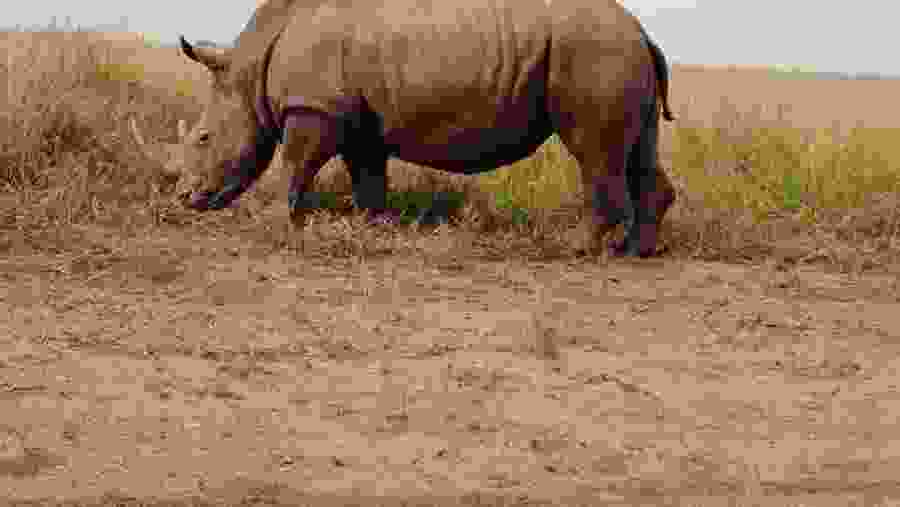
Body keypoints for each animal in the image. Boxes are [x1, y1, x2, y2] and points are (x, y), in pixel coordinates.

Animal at [139, 0, 677, 257]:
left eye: (203, 139)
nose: (184, 198)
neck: (250, 68)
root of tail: (642, 30)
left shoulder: (314, 108)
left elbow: (294, 165)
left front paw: (273, 224)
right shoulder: (355, 118)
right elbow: (367, 175)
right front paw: (372, 225)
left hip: (591, 50)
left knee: (594, 153)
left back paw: (575, 249)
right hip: (618, 51)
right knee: (637, 150)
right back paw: (636, 252)